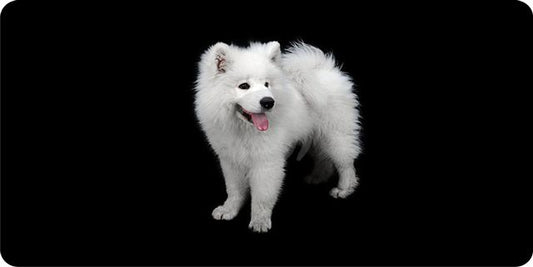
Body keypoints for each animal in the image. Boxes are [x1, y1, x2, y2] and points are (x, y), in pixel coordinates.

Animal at [193, 41, 360, 232]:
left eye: (267, 84)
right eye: (244, 86)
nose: (268, 102)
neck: (244, 129)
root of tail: (326, 69)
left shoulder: (266, 162)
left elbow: (262, 196)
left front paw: (260, 221)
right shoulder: (231, 160)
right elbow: (234, 190)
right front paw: (229, 209)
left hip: (335, 135)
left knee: (345, 164)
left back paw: (344, 188)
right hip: (317, 136)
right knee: (323, 158)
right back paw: (317, 177)